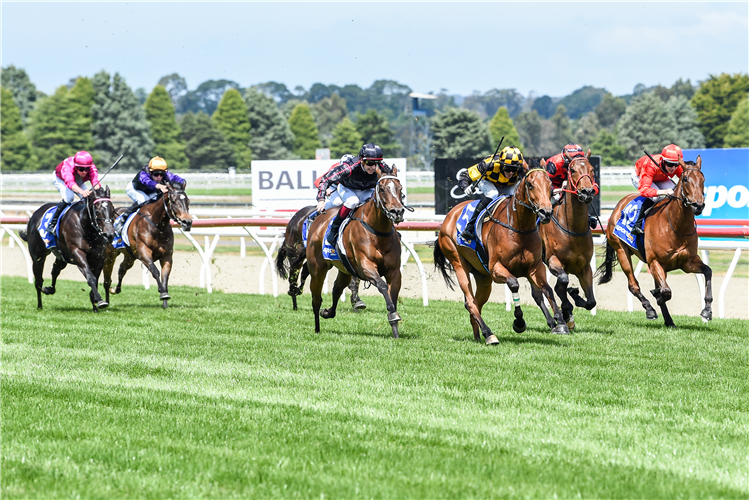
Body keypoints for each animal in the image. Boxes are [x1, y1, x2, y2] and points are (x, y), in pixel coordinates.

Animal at [306, 170, 406, 338]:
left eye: (400, 189)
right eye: (382, 189)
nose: (397, 212)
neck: (378, 232)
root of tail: (319, 218)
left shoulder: (394, 271)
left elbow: (392, 294)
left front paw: (395, 328)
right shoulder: (366, 267)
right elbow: (382, 285)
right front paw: (392, 315)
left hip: (345, 270)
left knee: (336, 289)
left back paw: (327, 312)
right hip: (317, 268)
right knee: (316, 298)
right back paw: (317, 328)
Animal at [432, 164, 568, 344]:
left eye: (550, 185)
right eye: (530, 185)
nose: (546, 212)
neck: (518, 228)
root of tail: (449, 215)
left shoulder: (535, 267)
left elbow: (547, 289)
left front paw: (560, 322)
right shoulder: (496, 268)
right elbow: (514, 284)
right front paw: (519, 321)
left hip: (483, 278)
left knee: (476, 302)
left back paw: (478, 335)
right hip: (458, 262)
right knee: (470, 302)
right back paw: (489, 334)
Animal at [540, 150, 600, 330]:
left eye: (592, 170)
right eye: (572, 170)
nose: (587, 192)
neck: (573, 229)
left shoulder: (584, 267)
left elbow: (591, 301)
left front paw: (575, 296)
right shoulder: (553, 260)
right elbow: (562, 281)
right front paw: (567, 311)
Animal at [592, 157, 712, 328]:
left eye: (703, 179)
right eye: (685, 179)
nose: (698, 205)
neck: (675, 226)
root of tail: (618, 205)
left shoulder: (687, 262)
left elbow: (708, 271)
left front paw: (707, 311)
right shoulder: (654, 261)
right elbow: (666, 291)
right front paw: (657, 298)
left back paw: (669, 321)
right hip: (622, 252)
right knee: (633, 285)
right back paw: (650, 309)